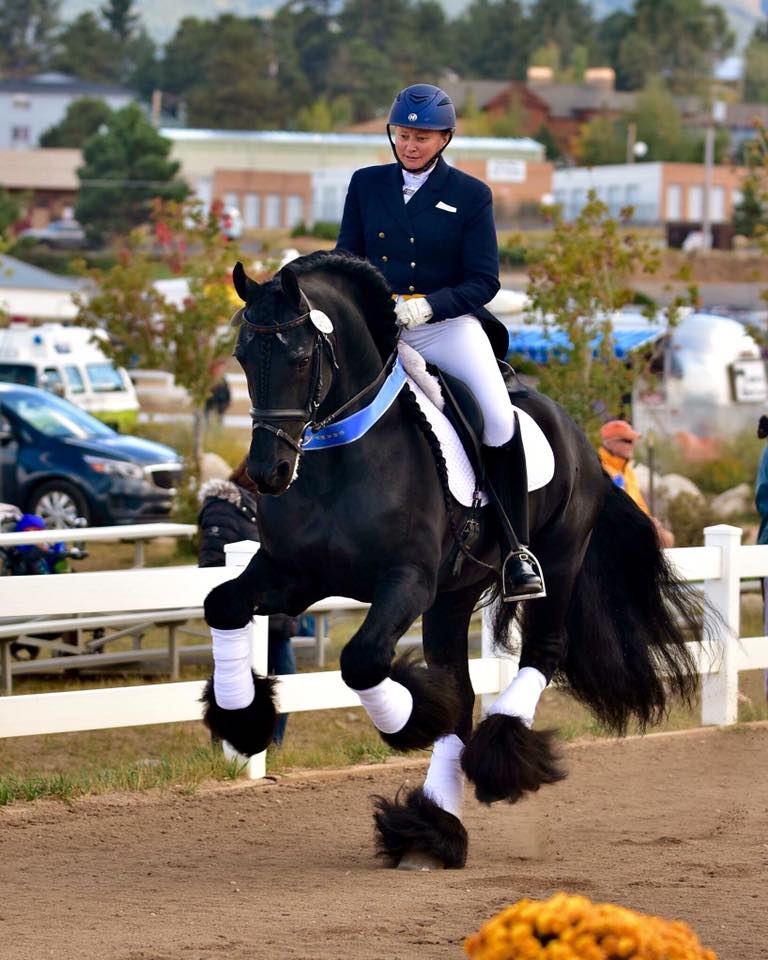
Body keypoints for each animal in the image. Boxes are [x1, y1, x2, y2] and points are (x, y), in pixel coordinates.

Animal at [202, 253, 704, 872]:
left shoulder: (407, 582)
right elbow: (222, 604)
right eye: (243, 355)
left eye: (298, 357)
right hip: (453, 594)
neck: (345, 456)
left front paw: (412, 718)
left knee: (544, 652)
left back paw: (497, 760)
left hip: (556, 560)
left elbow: (361, 660)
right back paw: (432, 830)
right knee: (461, 693)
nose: (267, 472)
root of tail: (579, 437)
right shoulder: (293, 576)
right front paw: (242, 716)